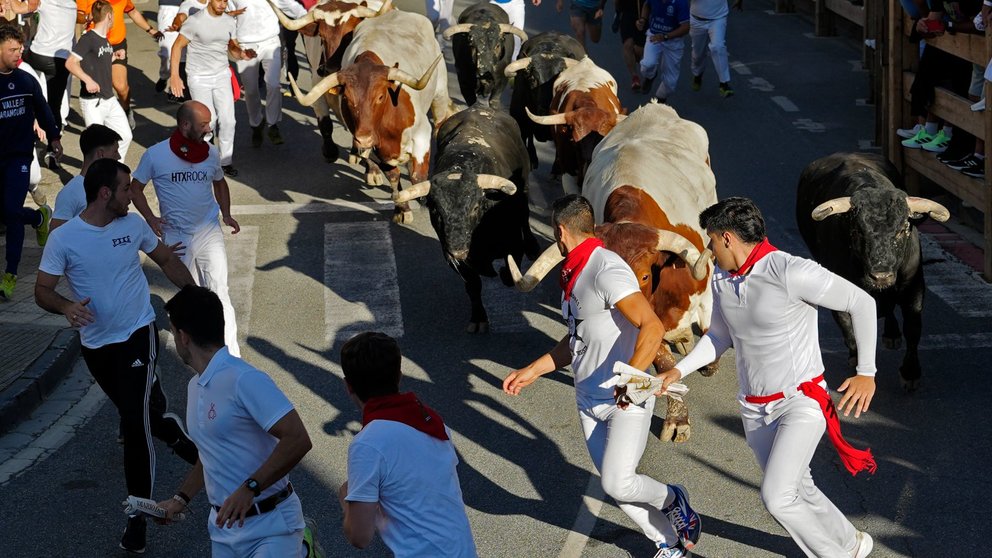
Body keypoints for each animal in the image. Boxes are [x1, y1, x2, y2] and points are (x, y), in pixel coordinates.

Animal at [286, 7, 458, 223]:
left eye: (381, 96)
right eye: (347, 98)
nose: (364, 139)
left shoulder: (421, 135)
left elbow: (418, 177)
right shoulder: (376, 148)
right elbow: (393, 176)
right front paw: (402, 209)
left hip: (440, 93)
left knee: (440, 122)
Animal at [392, 106, 540, 332]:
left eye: (476, 207)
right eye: (436, 211)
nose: (459, 251)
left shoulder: (513, 243)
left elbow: (509, 271)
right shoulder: (454, 260)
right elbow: (473, 286)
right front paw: (478, 318)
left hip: (523, 190)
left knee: (526, 218)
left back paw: (533, 247)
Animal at [796, 151, 948, 392]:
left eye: (902, 230)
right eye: (857, 231)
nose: (881, 276)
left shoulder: (914, 288)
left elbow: (913, 329)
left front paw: (910, 373)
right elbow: (851, 333)